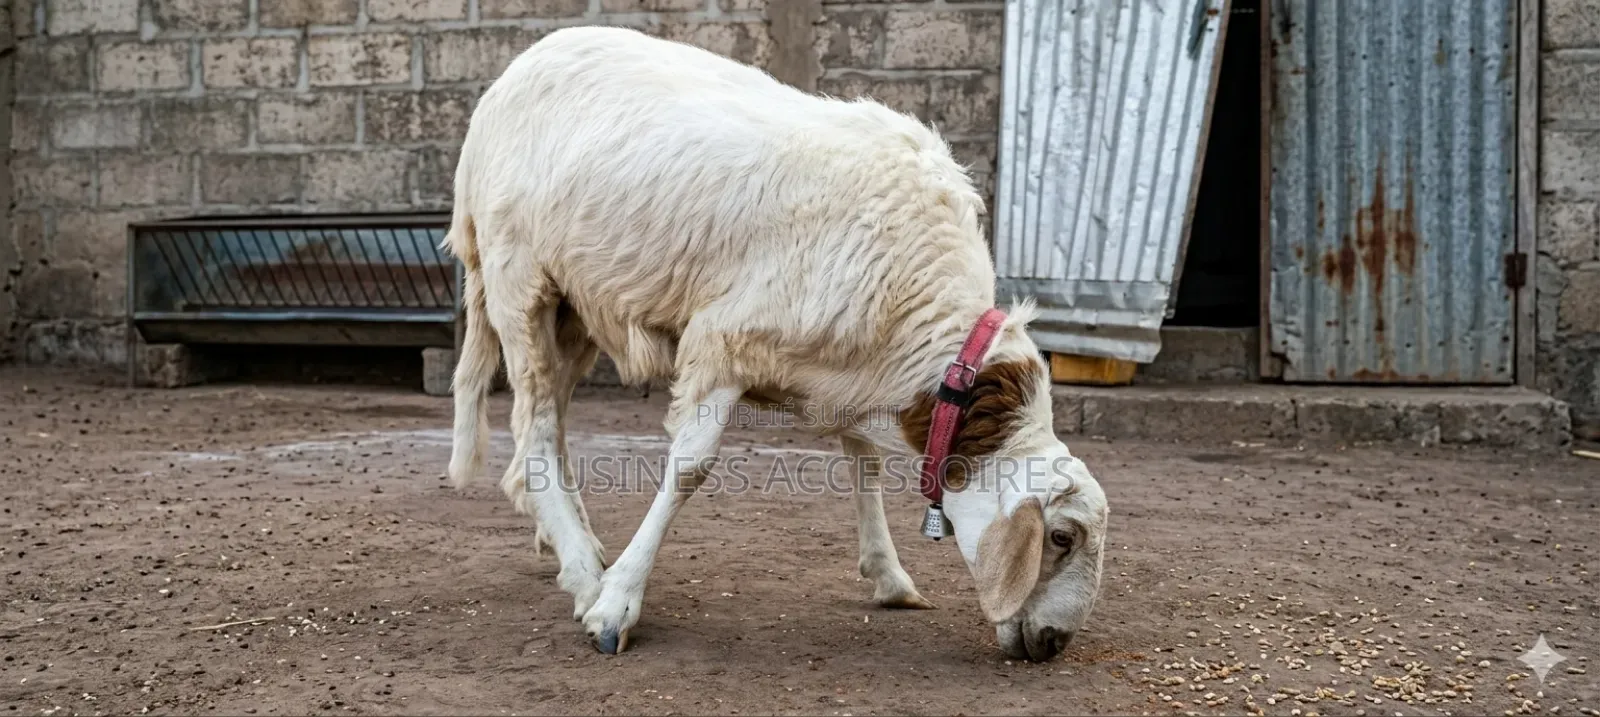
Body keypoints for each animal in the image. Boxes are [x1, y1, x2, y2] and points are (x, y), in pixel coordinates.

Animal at [442, 25, 1109, 661]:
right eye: (1060, 537)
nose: (1054, 643)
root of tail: (514, 72)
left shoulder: (848, 368)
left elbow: (864, 458)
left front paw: (889, 575)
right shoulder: (724, 341)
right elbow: (690, 468)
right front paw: (617, 605)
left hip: (577, 309)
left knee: (550, 423)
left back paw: (567, 540)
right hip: (519, 279)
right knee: (533, 426)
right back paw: (583, 570)